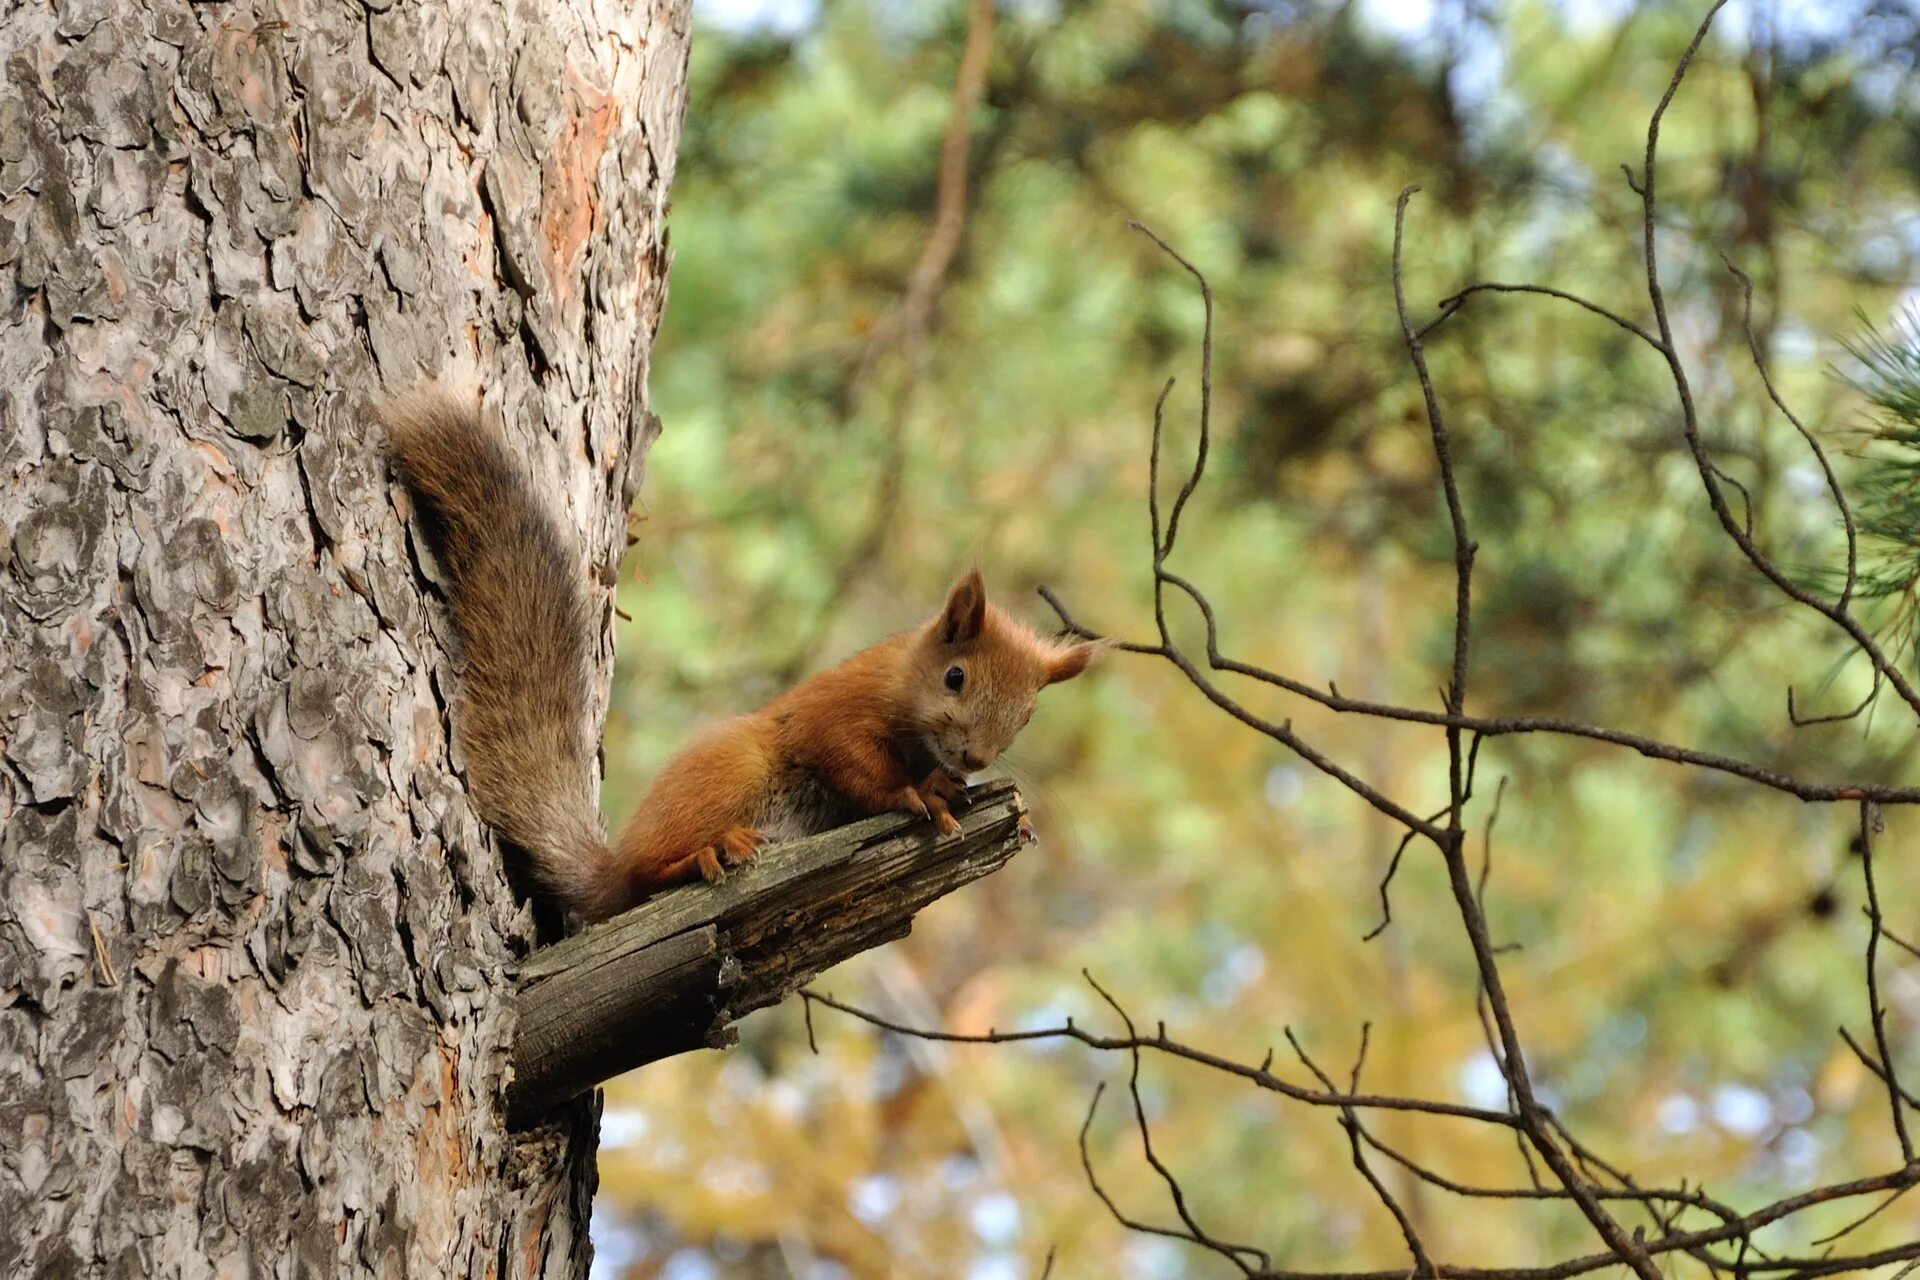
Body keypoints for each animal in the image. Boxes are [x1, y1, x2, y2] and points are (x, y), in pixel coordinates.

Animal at [384, 385, 1105, 924]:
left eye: (1028, 716)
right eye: (955, 677)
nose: (975, 758)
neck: (902, 684)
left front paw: (955, 786)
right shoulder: (835, 711)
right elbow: (855, 764)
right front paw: (920, 790)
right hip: (728, 774)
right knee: (648, 875)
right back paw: (710, 852)